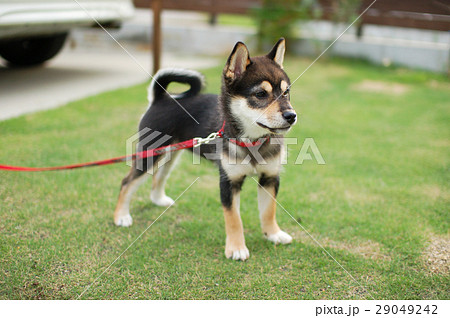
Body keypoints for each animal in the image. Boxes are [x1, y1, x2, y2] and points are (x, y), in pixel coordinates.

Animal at [112, 38, 298, 260]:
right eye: (260, 94)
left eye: (286, 92)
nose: (291, 115)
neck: (252, 141)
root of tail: (161, 98)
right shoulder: (228, 182)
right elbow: (234, 219)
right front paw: (236, 248)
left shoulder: (270, 178)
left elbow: (269, 211)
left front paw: (273, 234)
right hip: (149, 155)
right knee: (127, 182)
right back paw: (121, 216)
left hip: (170, 155)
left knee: (159, 176)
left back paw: (158, 200)